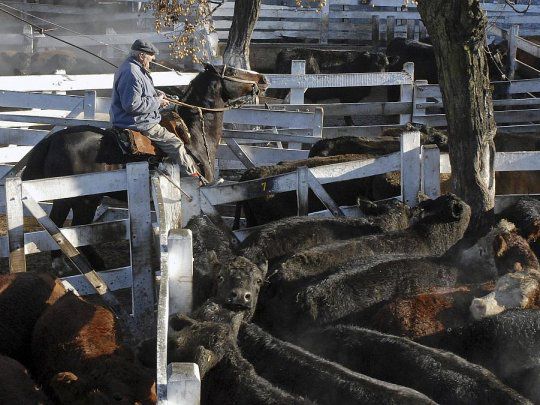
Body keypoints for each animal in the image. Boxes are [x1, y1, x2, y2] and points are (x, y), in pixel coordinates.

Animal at [22, 63, 268, 272]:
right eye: (233, 70)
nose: (263, 79)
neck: (192, 134)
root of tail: (53, 140)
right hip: (79, 199)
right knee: (69, 227)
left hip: (77, 198)